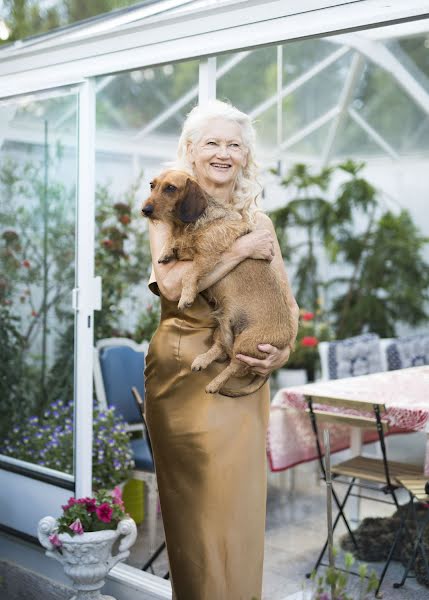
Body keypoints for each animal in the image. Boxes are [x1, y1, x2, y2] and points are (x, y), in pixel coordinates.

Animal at [140, 169, 294, 396]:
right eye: (152, 185)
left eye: (171, 188)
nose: (145, 210)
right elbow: (176, 242)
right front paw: (167, 250)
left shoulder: (206, 257)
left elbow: (189, 274)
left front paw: (186, 296)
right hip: (221, 329)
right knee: (221, 350)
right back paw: (202, 361)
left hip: (247, 343)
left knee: (236, 365)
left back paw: (214, 384)